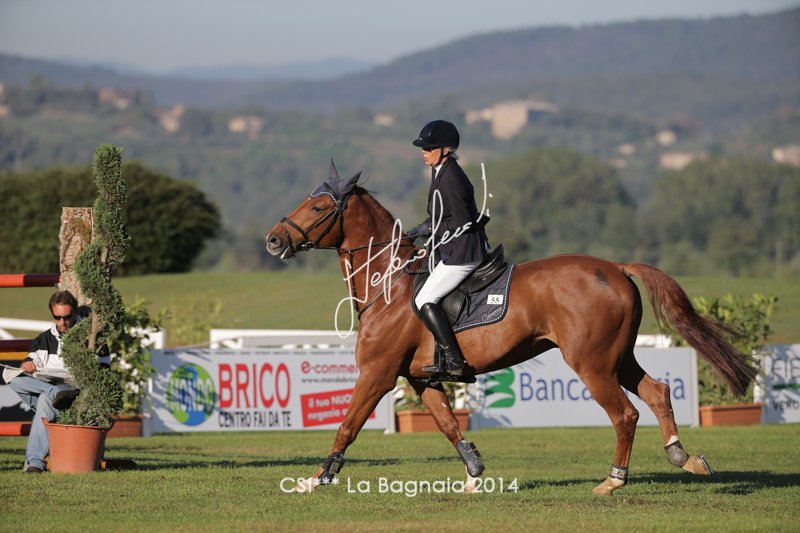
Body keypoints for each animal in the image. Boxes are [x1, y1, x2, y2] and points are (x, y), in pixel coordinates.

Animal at [264, 164, 756, 496]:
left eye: (318, 206)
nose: (273, 239)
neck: (389, 282)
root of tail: (615, 267)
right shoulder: (420, 378)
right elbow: (448, 425)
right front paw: (473, 475)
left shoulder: (378, 374)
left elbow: (347, 426)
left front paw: (316, 479)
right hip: (619, 357)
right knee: (657, 392)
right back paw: (684, 458)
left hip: (592, 363)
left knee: (624, 414)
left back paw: (613, 482)